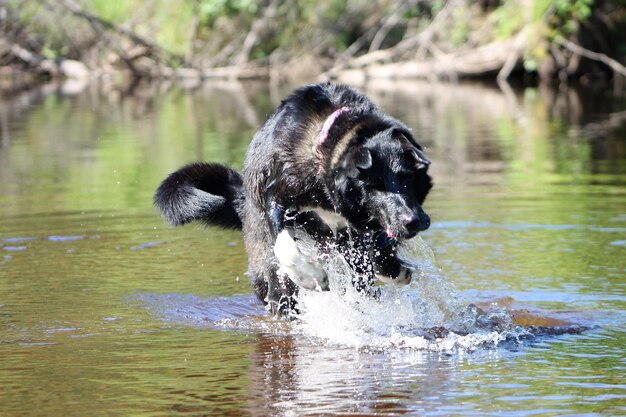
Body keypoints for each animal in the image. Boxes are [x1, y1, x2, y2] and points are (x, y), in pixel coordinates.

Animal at [154, 83, 432, 314]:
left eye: (406, 178)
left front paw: (392, 267)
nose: (413, 221)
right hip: (268, 272)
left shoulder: (363, 231)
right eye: (373, 186)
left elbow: (380, 252)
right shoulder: (276, 197)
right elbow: (284, 246)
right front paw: (310, 275)